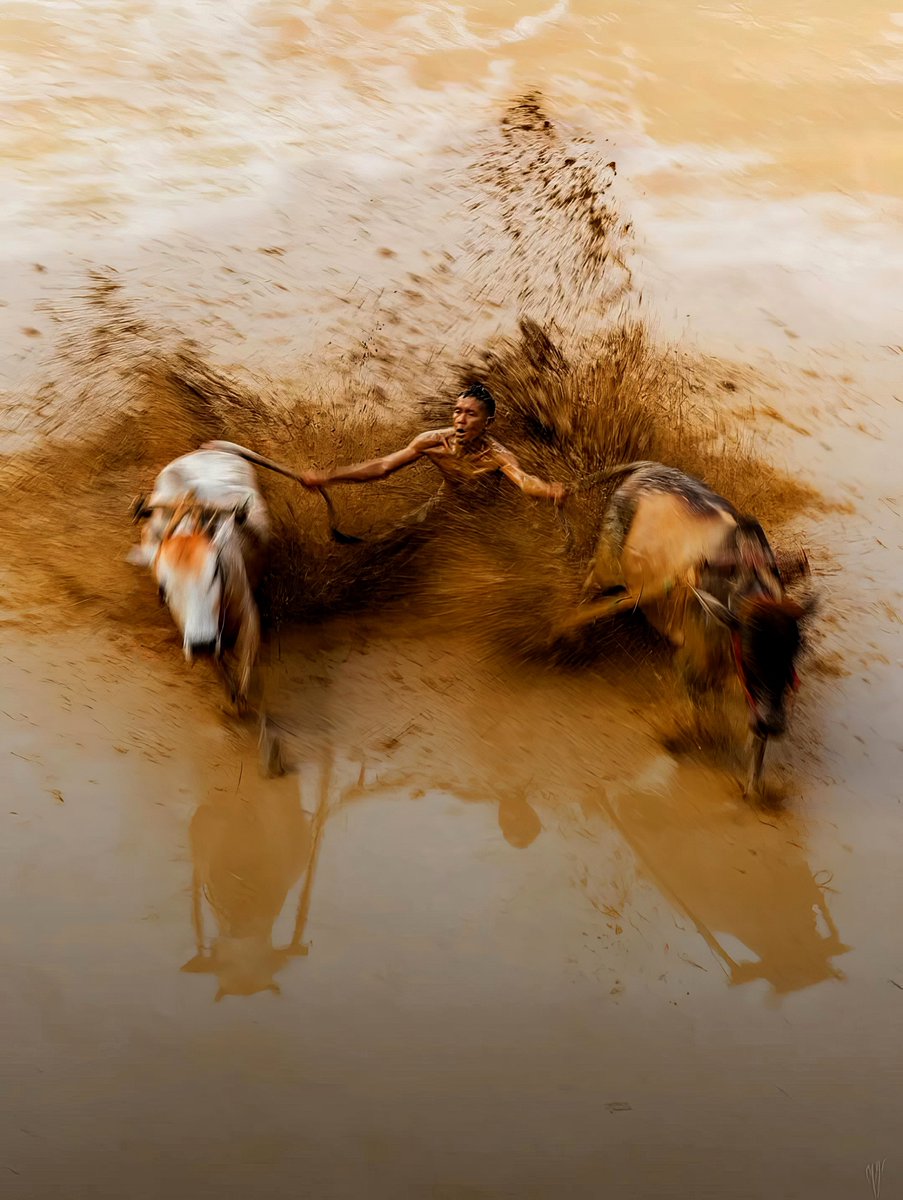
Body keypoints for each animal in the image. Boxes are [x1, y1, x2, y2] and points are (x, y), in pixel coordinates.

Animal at [562, 461, 816, 795]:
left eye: (791, 659)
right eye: (750, 656)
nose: (773, 723)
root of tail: (647, 467)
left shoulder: (754, 699)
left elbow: (755, 749)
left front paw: (753, 789)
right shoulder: (692, 666)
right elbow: (698, 713)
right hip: (608, 564)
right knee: (591, 584)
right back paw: (570, 635)